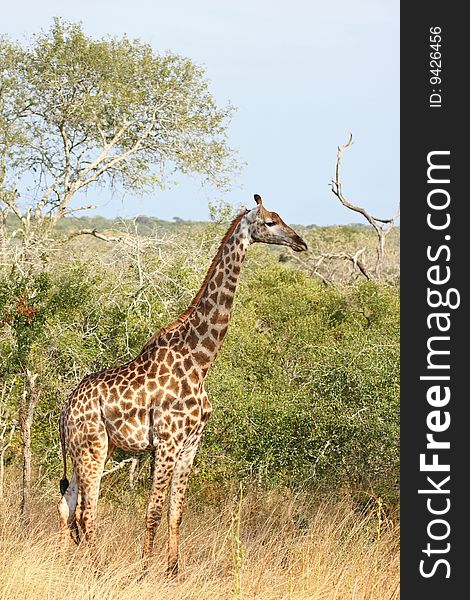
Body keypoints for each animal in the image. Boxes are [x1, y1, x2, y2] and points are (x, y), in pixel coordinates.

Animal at [57, 192, 308, 576]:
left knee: (68, 505)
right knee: (86, 510)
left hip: (91, 448)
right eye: (270, 222)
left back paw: (68, 560)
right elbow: (154, 511)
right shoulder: (167, 442)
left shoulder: (191, 444)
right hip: (92, 447)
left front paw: (174, 570)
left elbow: (176, 512)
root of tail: (65, 409)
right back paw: (95, 566)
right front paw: (145, 570)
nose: (300, 242)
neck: (200, 361)